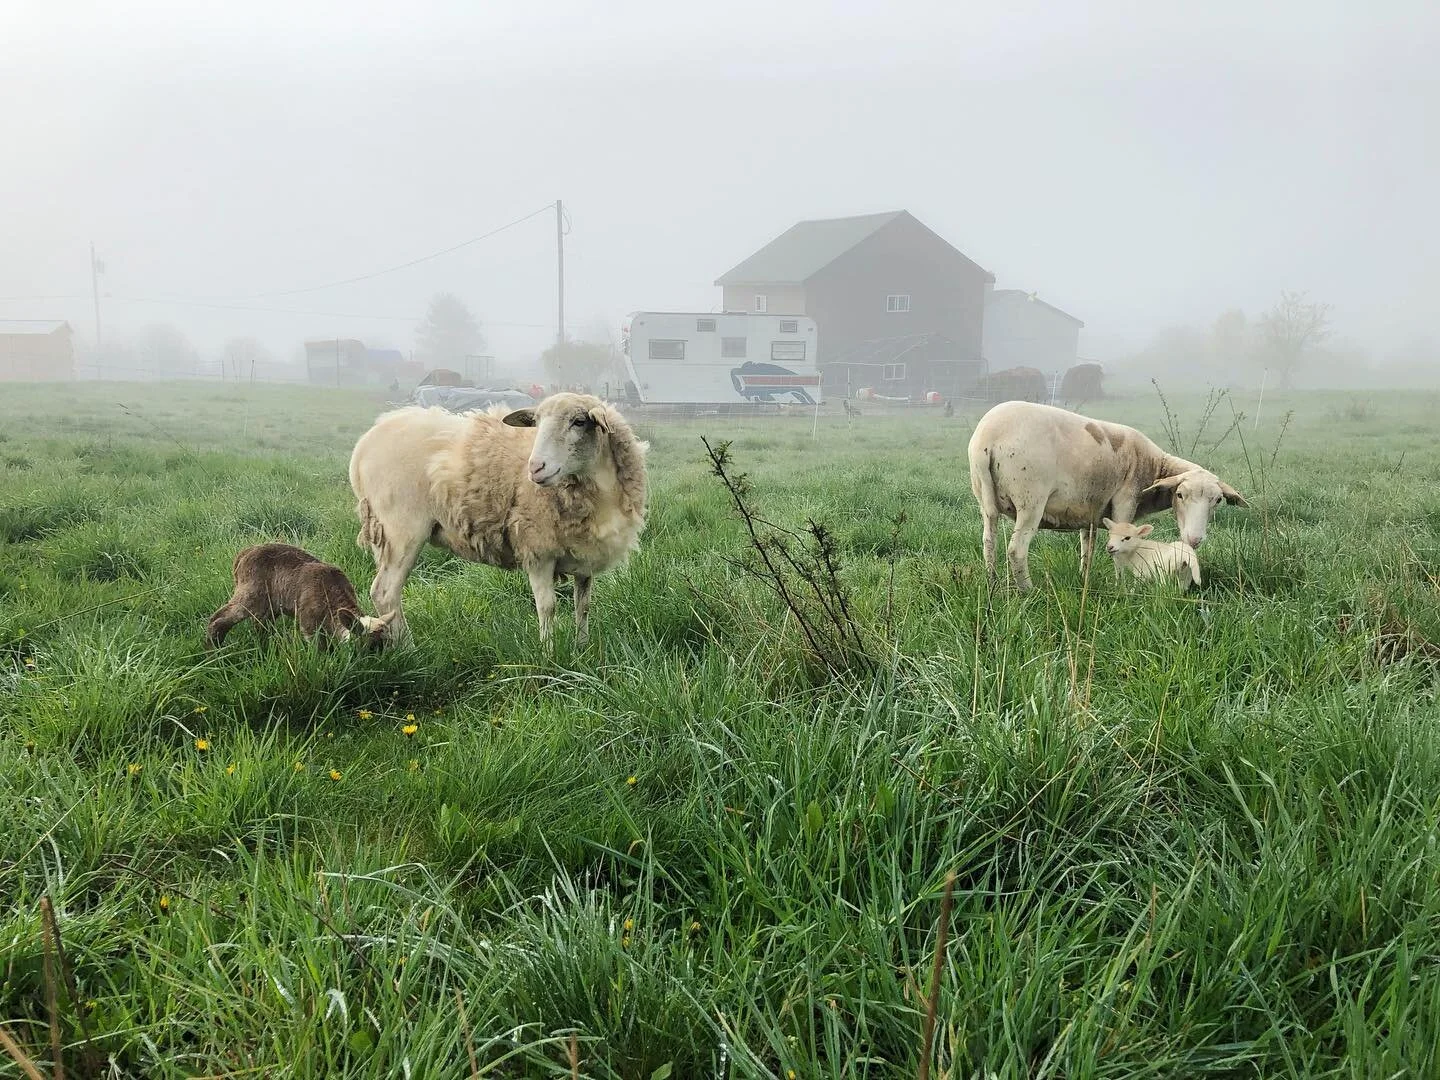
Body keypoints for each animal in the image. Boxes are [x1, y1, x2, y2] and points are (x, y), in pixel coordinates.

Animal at [206, 543, 392, 649]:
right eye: (370, 647)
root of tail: (244, 554)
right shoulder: (308, 624)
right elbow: (320, 649)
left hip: (270, 606)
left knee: (260, 625)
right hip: (251, 594)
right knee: (219, 618)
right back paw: (213, 650)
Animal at [348, 391, 648, 645]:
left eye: (579, 421)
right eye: (536, 423)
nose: (535, 468)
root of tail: (365, 442)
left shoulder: (585, 554)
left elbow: (583, 606)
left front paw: (581, 648)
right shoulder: (537, 548)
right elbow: (547, 607)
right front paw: (549, 655)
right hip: (400, 529)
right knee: (385, 592)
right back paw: (409, 648)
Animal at [968, 400, 1245, 590]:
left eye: (1217, 500)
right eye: (1179, 495)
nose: (1194, 540)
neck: (1154, 465)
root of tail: (987, 438)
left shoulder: (1088, 508)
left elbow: (1087, 549)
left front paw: (1084, 578)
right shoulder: (1126, 500)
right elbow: (1121, 542)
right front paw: (1121, 584)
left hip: (983, 497)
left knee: (988, 541)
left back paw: (992, 584)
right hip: (1030, 498)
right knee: (1016, 550)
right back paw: (1028, 590)